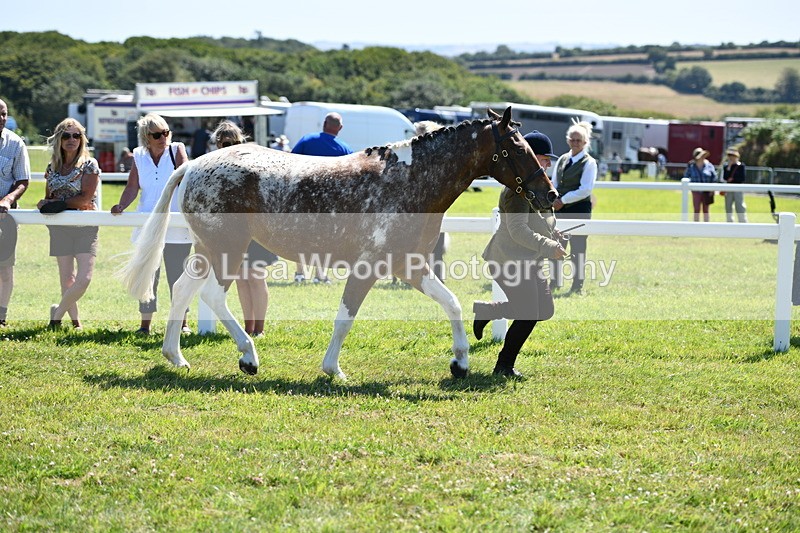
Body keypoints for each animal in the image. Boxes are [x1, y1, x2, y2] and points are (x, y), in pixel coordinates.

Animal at [120, 107, 557, 380]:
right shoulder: (370, 268)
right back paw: (248, 357)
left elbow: (451, 303)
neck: (410, 181)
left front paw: (460, 363)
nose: (549, 194)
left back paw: (176, 357)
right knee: (211, 295)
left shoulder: (410, 265)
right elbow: (345, 317)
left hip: (207, 250)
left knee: (182, 289)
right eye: (516, 148)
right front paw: (333, 369)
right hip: (227, 250)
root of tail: (194, 165)